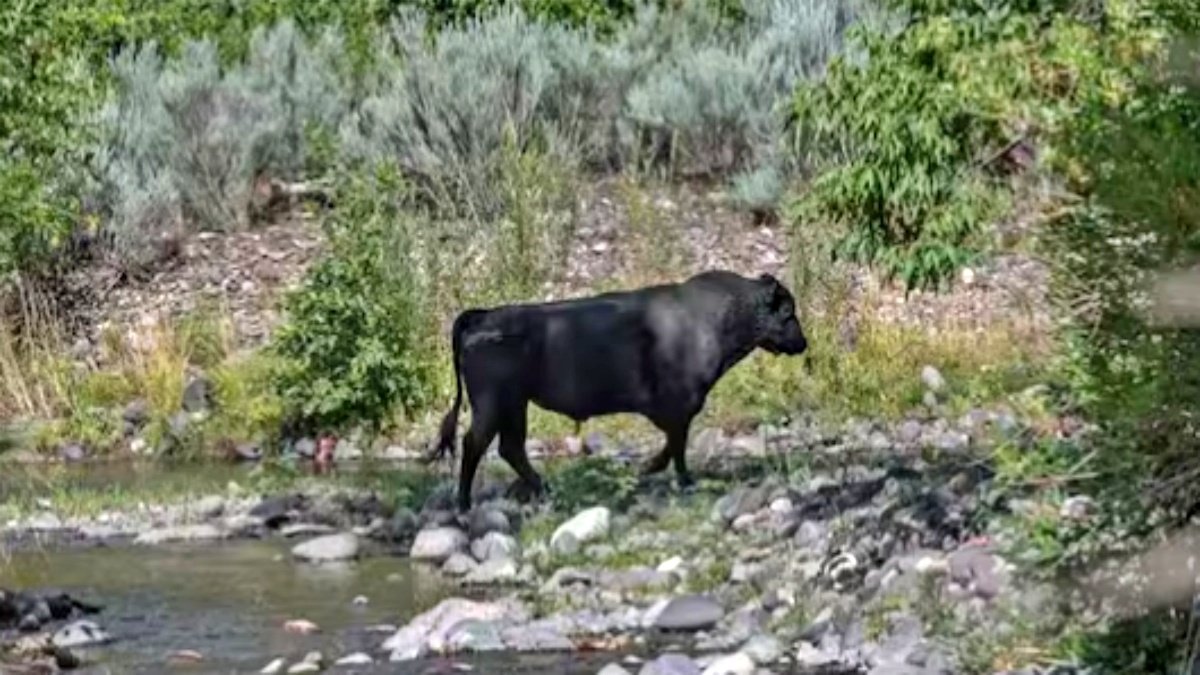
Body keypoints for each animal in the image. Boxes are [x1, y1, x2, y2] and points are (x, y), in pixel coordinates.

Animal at [425, 270, 809, 512]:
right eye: (788, 313)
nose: (802, 343)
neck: (714, 316)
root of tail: (482, 316)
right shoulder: (681, 404)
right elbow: (677, 445)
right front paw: (678, 478)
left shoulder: (677, 410)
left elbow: (673, 442)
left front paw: (649, 469)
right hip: (493, 404)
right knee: (475, 443)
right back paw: (465, 503)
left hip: (515, 405)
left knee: (510, 447)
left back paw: (545, 489)